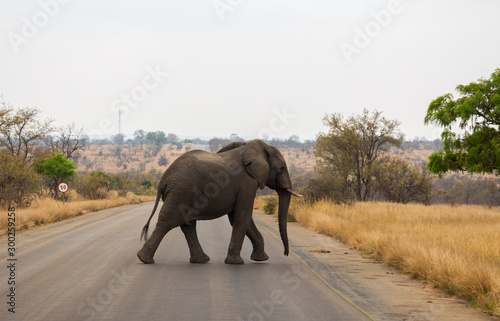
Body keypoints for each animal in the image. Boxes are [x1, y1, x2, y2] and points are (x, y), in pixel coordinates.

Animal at [137, 139, 300, 264]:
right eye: (282, 167)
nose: (286, 253)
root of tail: (163, 179)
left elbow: (238, 218)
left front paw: (261, 259)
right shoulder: (247, 183)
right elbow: (242, 216)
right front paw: (236, 262)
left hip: (183, 194)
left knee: (187, 225)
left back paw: (200, 260)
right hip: (181, 192)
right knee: (168, 222)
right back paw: (144, 259)